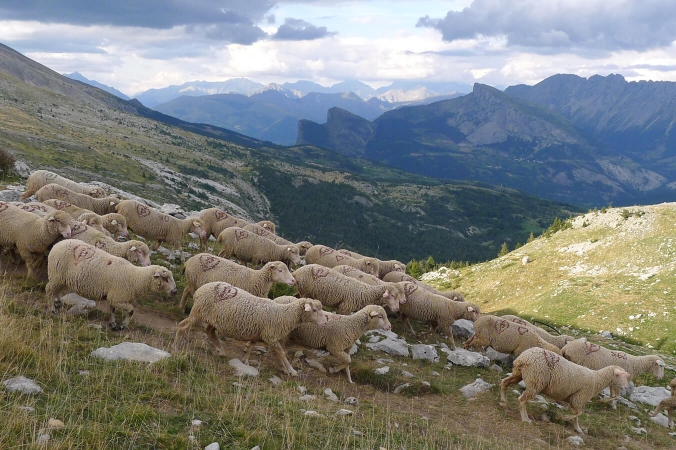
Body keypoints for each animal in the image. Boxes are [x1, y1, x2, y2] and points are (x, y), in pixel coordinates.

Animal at [45, 239, 177, 330]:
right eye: (165, 279)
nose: (175, 291)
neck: (135, 278)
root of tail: (59, 243)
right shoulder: (117, 297)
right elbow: (131, 310)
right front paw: (123, 325)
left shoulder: (113, 296)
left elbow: (112, 310)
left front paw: (113, 324)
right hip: (56, 274)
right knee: (49, 290)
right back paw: (52, 310)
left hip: (62, 278)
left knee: (57, 290)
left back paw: (57, 303)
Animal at [170, 282, 326, 376]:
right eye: (314, 310)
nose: (325, 322)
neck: (283, 314)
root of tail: (200, 290)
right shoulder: (270, 336)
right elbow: (281, 353)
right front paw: (291, 370)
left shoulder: (259, 334)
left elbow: (251, 346)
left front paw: (245, 361)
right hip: (198, 312)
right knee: (183, 326)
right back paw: (176, 347)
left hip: (213, 319)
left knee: (209, 331)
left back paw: (221, 350)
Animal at [500, 346, 632, 434]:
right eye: (621, 375)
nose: (626, 387)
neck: (596, 379)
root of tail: (523, 358)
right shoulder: (578, 398)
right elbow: (579, 413)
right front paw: (563, 417)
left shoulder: (577, 400)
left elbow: (577, 415)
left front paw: (577, 428)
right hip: (535, 381)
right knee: (521, 399)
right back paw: (525, 418)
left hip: (519, 374)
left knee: (505, 382)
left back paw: (503, 401)